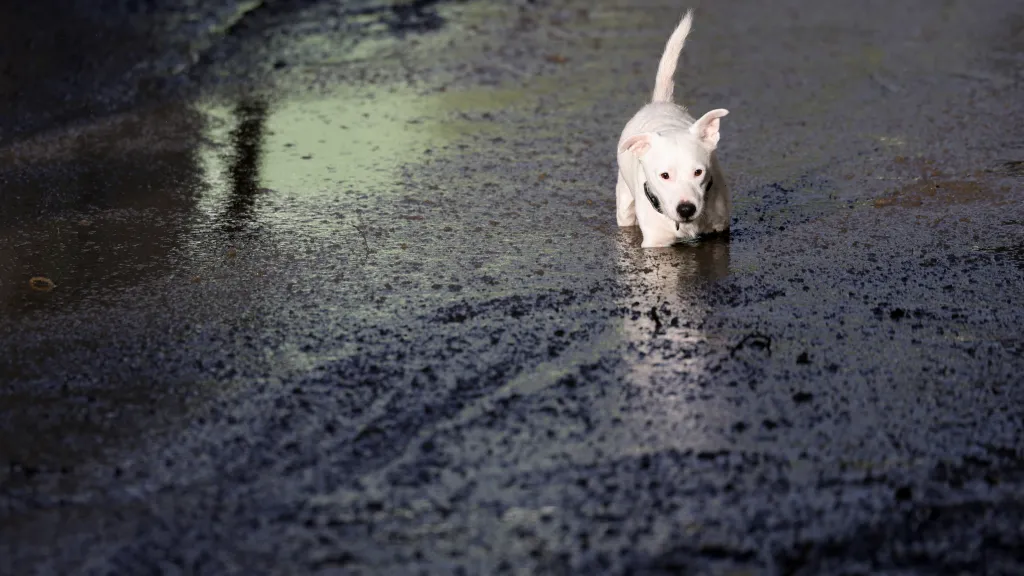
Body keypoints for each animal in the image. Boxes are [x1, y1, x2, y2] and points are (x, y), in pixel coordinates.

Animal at [610, 8, 733, 247]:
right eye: (664, 175)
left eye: (698, 172)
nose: (686, 209)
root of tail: (660, 102)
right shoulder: (656, 242)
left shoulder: (720, 230)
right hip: (624, 203)